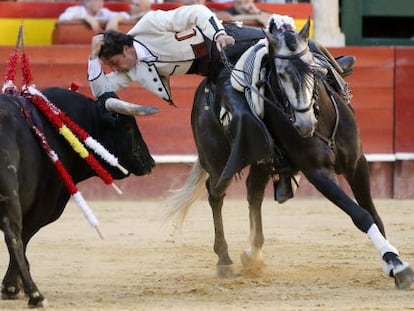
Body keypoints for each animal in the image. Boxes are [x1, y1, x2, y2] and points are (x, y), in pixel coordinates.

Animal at [0, 87, 154, 308]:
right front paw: (12, 287)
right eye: (128, 127)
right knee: (13, 236)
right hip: (10, 194)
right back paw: (37, 295)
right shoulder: (43, 206)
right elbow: (23, 238)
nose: (151, 162)